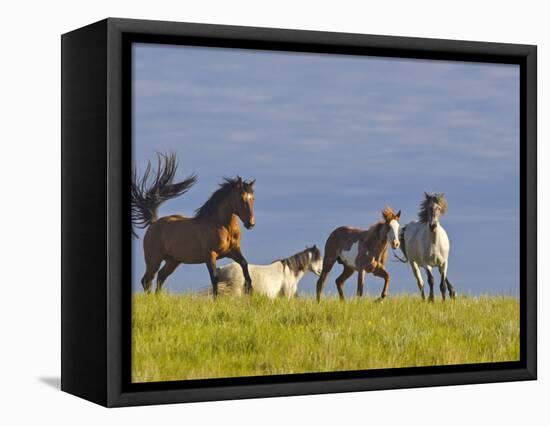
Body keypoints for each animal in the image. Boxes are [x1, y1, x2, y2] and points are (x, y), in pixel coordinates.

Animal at [132, 153, 256, 296]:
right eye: (241, 198)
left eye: (253, 198)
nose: (250, 223)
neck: (224, 227)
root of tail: (153, 223)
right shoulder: (210, 255)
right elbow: (214, 277)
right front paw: (216, 298)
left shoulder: (233, 251)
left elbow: (245, 265)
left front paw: (249, 291)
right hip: (154, 259)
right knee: (147, 280)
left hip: (173, 260)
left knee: (160, 276)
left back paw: (158, 297)